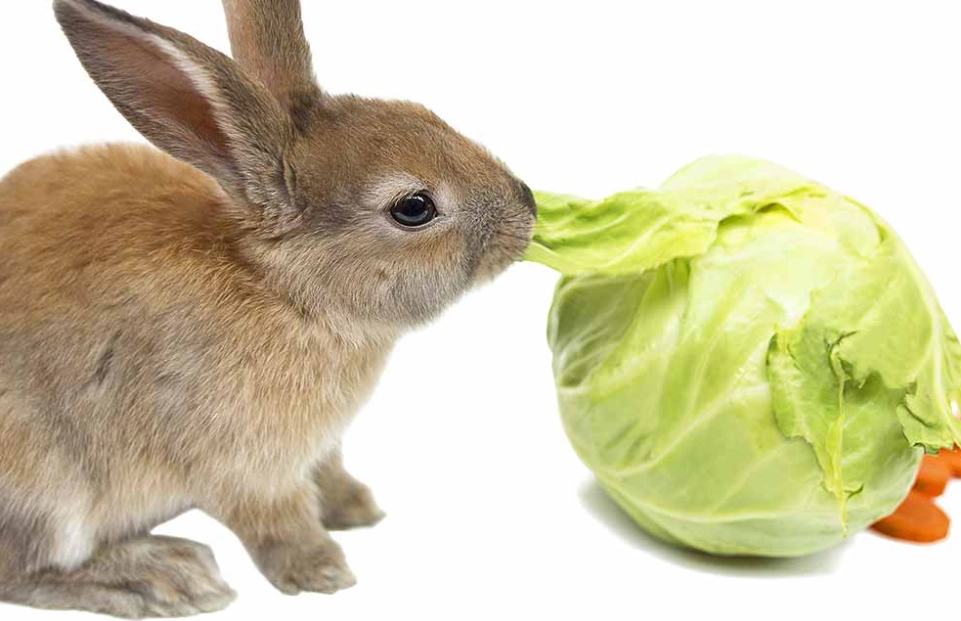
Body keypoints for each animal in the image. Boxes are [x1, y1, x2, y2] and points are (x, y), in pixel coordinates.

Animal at [0, 0, 536, 617]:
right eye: (414, 207)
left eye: (422, 112)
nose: (528, 207)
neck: (282, 292)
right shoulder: (246, 467)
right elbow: (276, 522)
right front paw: (324, 569)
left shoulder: (319, 449)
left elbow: (328, 475)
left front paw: (357, 509)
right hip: (46, 486)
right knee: (24, 566)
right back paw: (164, 576)